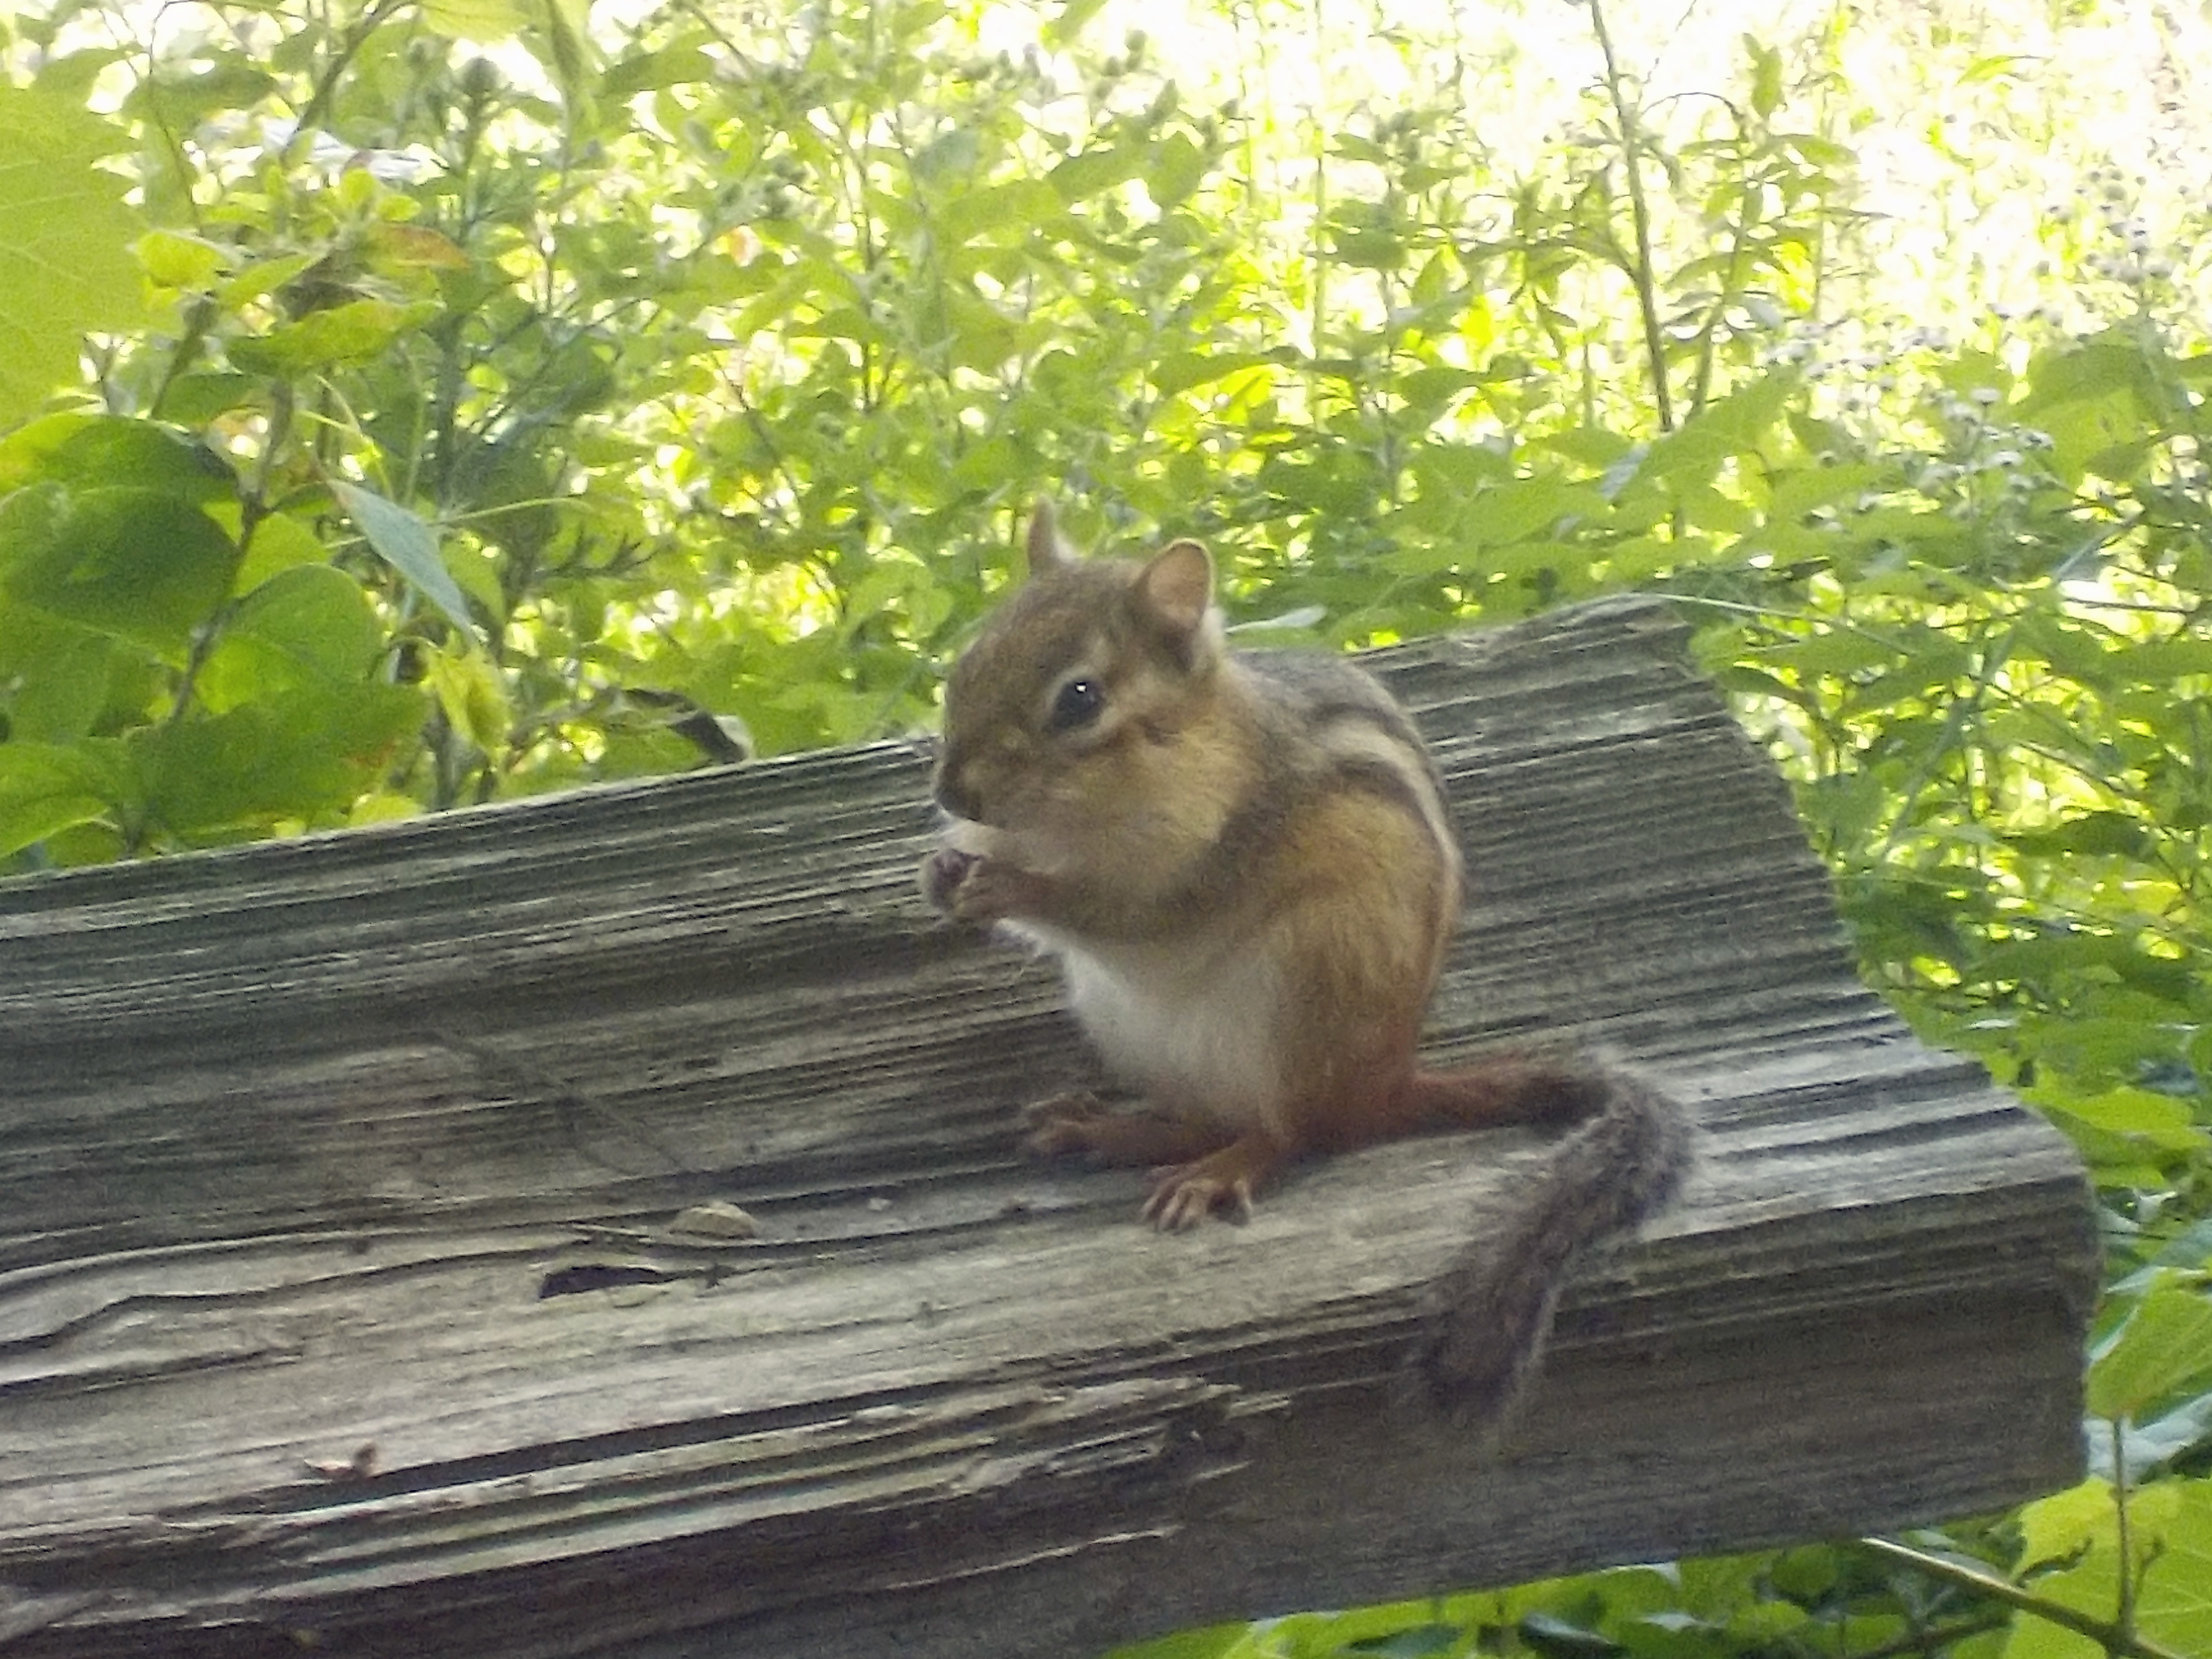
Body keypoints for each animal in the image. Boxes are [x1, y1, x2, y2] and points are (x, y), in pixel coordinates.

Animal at [921, 505, 1691, 1430]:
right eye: (967, 661)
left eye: (1079, 700)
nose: (954, 794)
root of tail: (1383, 1086)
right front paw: (944, 870)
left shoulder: (1201, 860)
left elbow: (1120, 914)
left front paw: (1011, 886)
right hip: (1134, 1027)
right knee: (1206, 1118)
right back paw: (1111, 1130)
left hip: (1305, 987)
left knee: (1293, 1131)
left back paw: (1223, 1169)